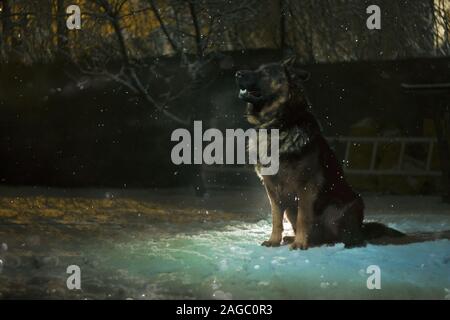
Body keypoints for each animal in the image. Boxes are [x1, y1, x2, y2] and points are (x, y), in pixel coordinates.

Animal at [236, 58, 404, 251]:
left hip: (339, 209)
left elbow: (303, 217)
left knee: (351, 237)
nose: (237, 73)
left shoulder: (306, 186)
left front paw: (299, 243)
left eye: (265, 73)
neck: (278, 124)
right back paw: (296, 238)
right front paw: (274, 240)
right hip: (292, 210)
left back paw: (340, 243)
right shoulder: (272, 188)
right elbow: (276, 219)